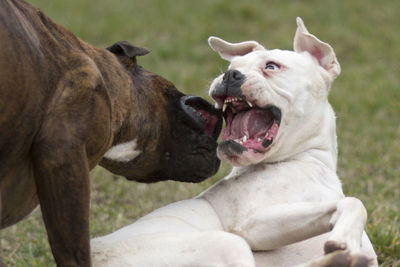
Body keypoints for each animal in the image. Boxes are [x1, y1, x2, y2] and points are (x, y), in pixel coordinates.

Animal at [90, 17, 378, 266]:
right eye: (231, 67)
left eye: (271, 66)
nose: (231, 75)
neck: (307, 162)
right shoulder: (252, 224)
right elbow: (354, 202)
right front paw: (344, 238)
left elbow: (352, 205)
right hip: (228, 243)